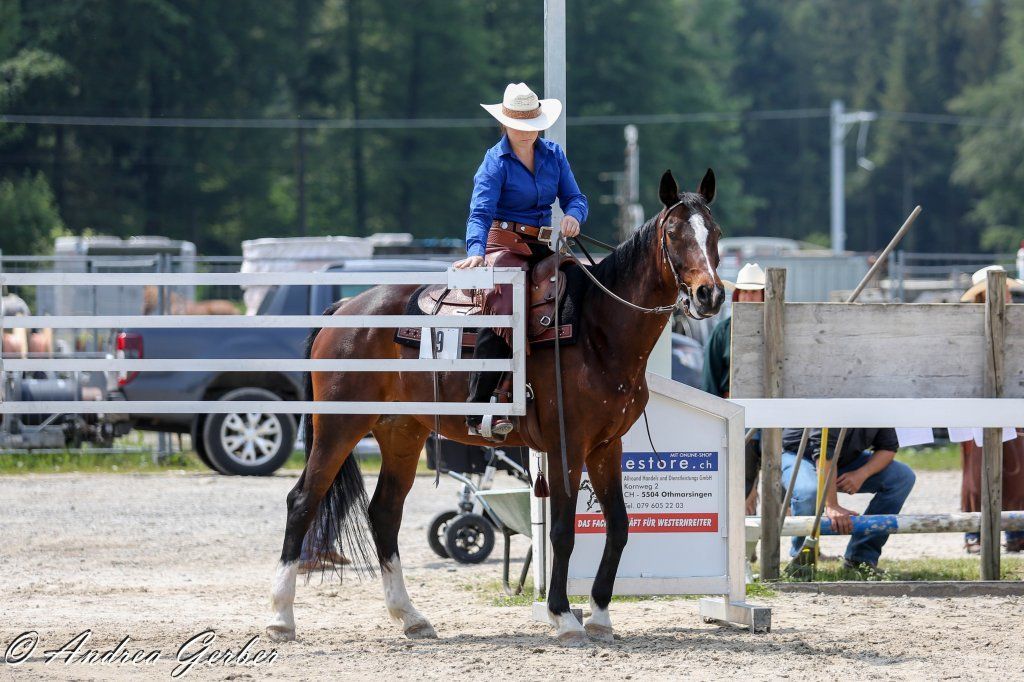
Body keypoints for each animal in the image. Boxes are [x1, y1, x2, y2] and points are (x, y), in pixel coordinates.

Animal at [267, 168, 725, 647]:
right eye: (673, 233)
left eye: (715, 233)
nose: (709, 294)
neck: (598, 328)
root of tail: (344, 309)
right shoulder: (567, 446)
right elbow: (562, 533)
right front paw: (564, 617)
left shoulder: (606, 447)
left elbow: (618, 526)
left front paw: (600, 617)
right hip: (339, 425)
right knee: (303, 501)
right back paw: (281, 617)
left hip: (401, 432)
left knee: (384, 512)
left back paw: (410, 617)